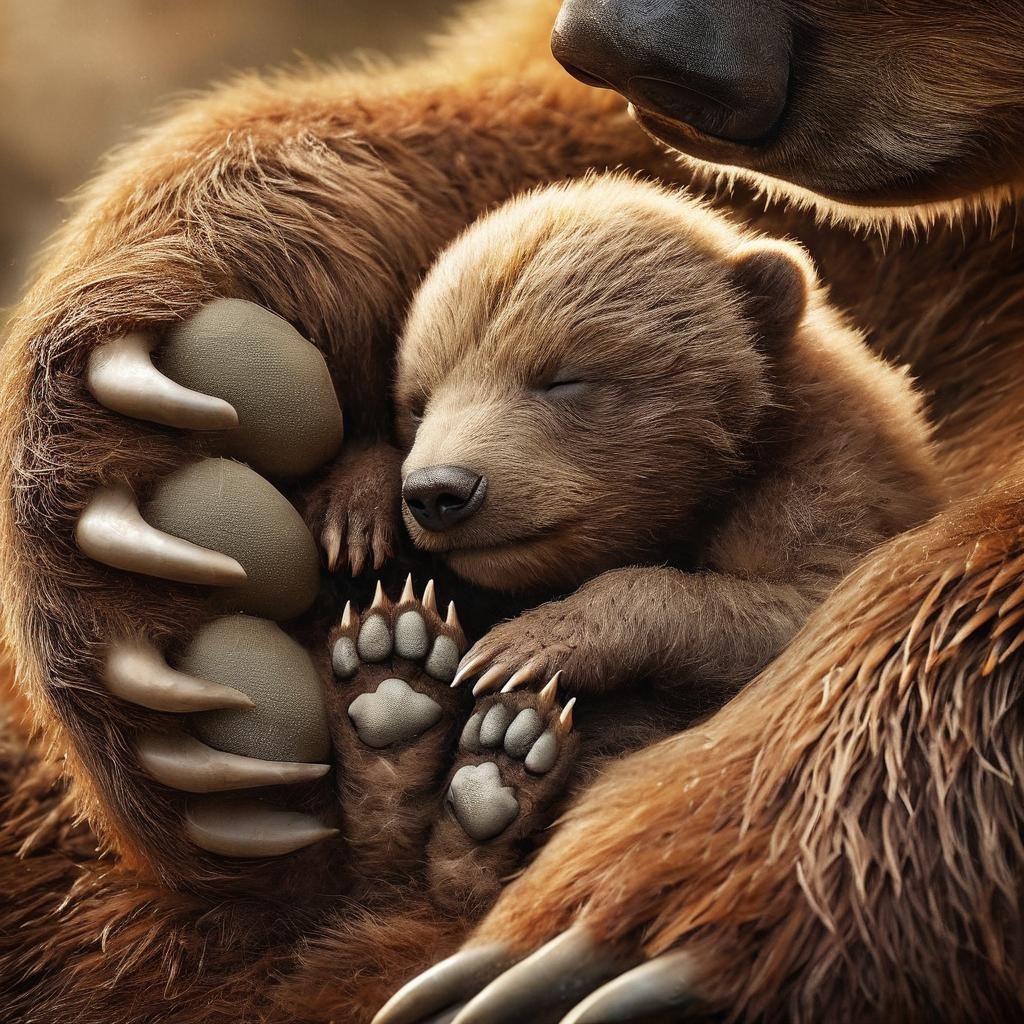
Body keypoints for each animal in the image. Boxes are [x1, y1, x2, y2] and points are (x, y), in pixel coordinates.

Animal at [1, 0, 1023, 1021]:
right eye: (416, 401)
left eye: (564, 380)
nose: (439, 490)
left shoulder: (829, 470)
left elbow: (810, 601)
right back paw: (389, 703)